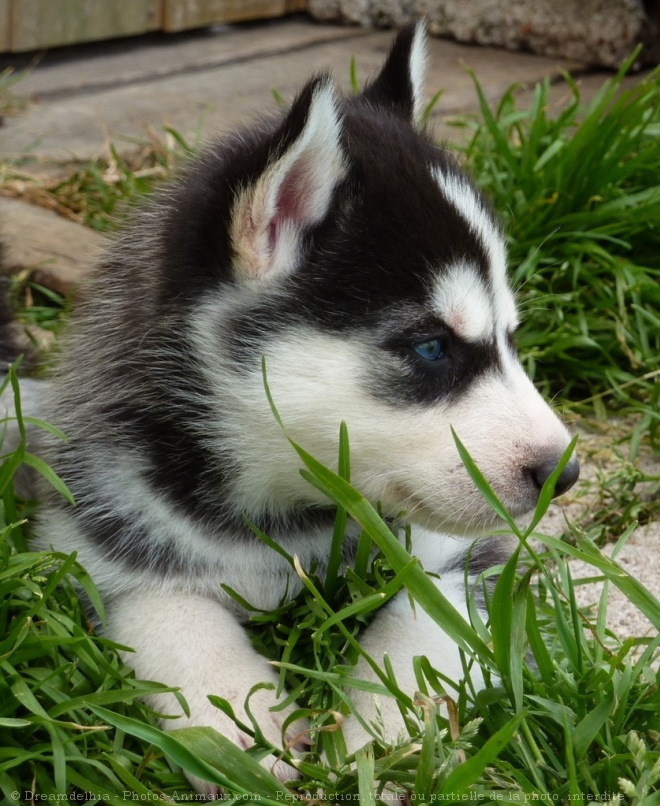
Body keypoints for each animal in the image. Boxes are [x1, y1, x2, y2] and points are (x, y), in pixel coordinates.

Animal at [36, 23, 576, 788]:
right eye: (432, 347)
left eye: (510, 338)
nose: (564, 474)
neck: (294, 516)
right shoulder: (99, 539)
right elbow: (169, 613)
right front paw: (239, 724)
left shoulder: (468, 556)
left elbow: (428, 617)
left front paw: (384, 728)